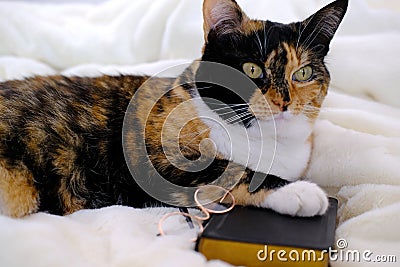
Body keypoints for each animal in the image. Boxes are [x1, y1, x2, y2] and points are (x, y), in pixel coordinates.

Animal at [0, 0, 346, 218]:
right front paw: (300, 192)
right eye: (251, 69)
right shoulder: (154, 158)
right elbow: (228, 172)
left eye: (304, 73)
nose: (283, 102)